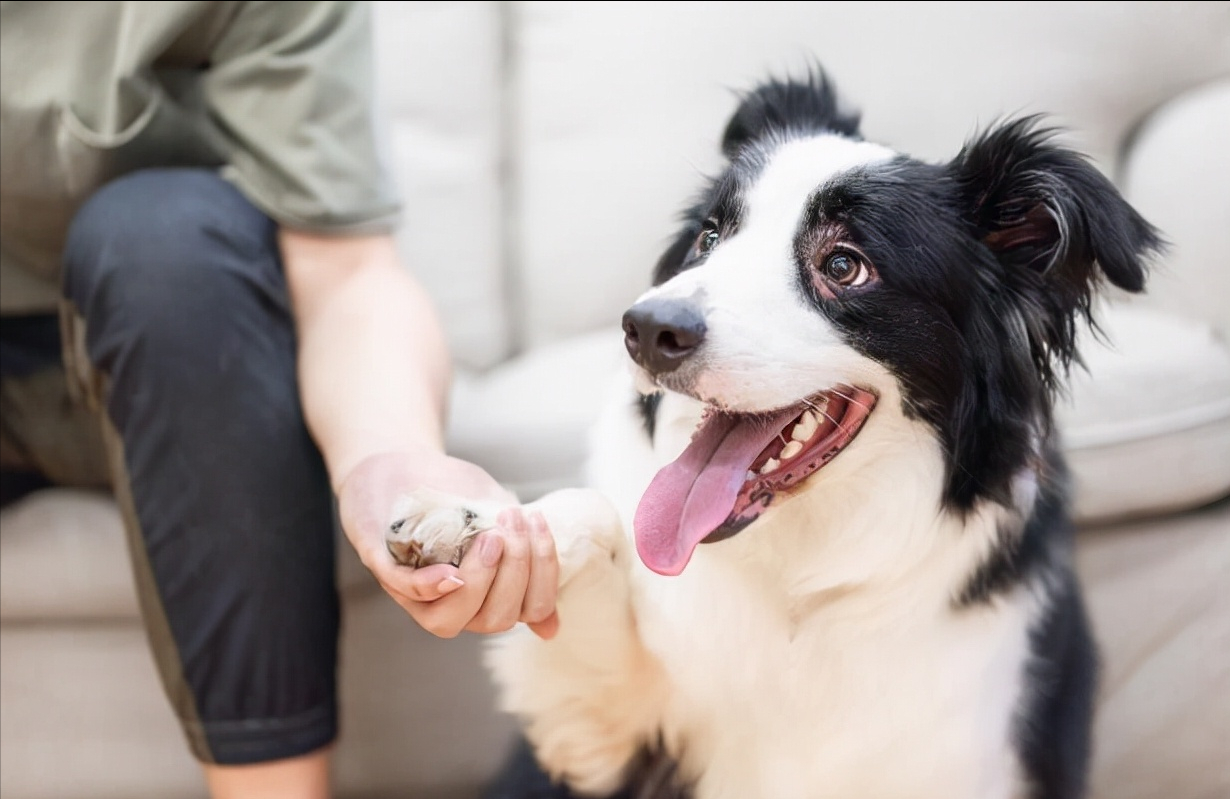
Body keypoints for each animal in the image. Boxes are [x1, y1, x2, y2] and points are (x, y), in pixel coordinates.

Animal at [386, 70, 1161, 796]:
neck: (802, 582)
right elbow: (596, 523)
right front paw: (471, 520)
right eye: (710, 237)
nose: (646, 328)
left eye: (844, 264)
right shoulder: (605, 741)